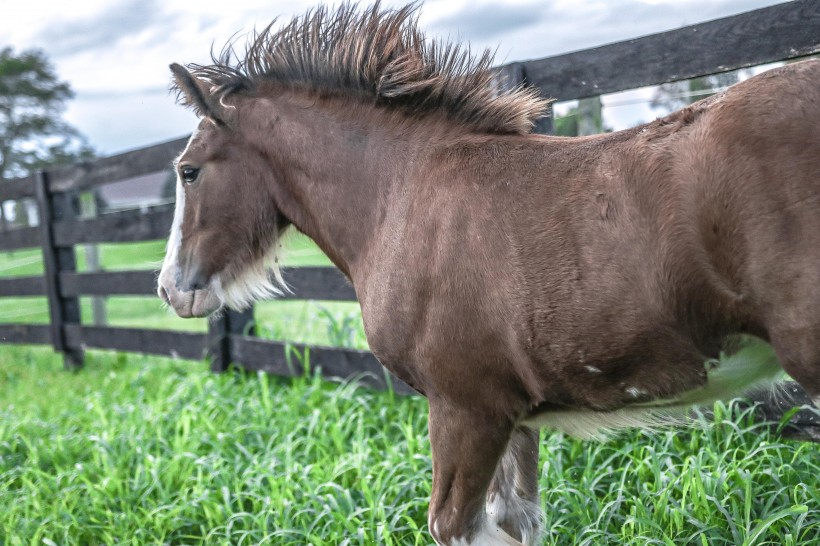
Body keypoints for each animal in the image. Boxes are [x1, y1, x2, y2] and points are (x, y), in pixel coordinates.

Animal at [159, 4, 820, 544]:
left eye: (189, 171)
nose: (170, 289)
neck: (402, 191)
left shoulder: (465, 408)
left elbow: (453, 525)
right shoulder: (513, 417)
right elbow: (517, 521)